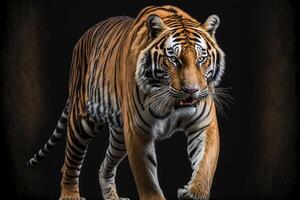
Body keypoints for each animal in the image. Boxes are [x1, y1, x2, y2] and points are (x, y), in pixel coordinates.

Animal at [27, 4, 225, 200]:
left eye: (201, 59)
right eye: (173, 59)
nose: (191, 90)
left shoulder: (203, 123)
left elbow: (205, 163)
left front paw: (194, 193)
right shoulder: (138, 130)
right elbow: (147, 176)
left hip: (120, 136)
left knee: (104, 165)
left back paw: (112, 197)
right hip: (82, 122)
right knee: (71, 161)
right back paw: (70, 194)